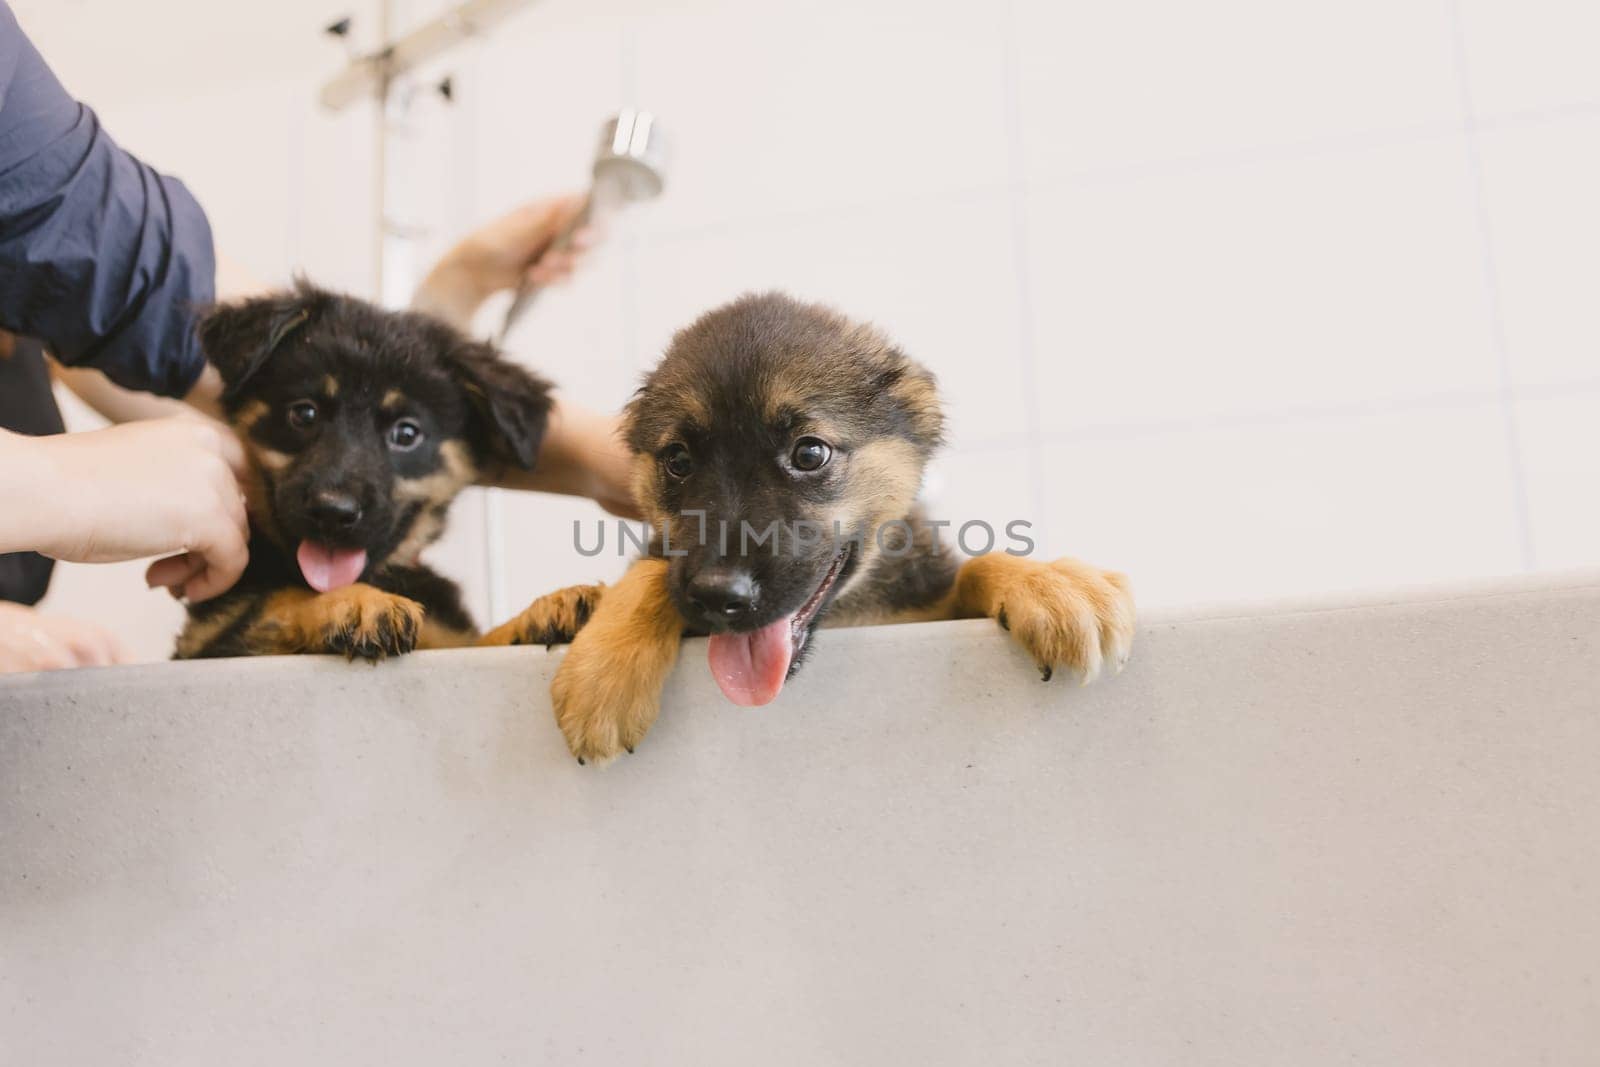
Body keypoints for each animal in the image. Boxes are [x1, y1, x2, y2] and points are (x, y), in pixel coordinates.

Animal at [174, 281, 550, 659]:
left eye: (407, 433)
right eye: (304, 413)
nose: (332, 512)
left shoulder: (449, 638)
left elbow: (474, 641)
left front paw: (535, 616)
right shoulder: (210, 641)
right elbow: (283, 598)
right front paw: (358, 602)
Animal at [492, 287, 1132, 764]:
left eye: (810, 453)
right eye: (677, 460)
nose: (720, 595)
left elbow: (975, 566)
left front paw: (1051, 585)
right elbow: (653, 571)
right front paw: (604, 671)